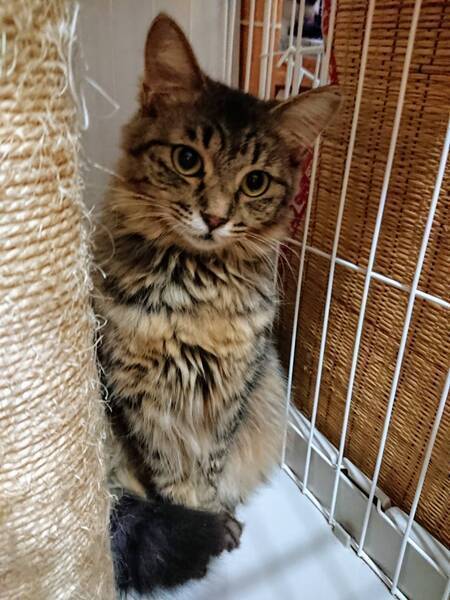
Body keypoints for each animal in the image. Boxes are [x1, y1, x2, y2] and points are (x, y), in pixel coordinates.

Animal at [95, 13, 341, 595]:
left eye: (255, 182)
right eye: (188, 160)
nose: (214, 217)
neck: (195, 287)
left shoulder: (229, 390)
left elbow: (207, 467)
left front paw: (213, 515)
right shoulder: (139, 394)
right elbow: (169, 476)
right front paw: (201, 524)